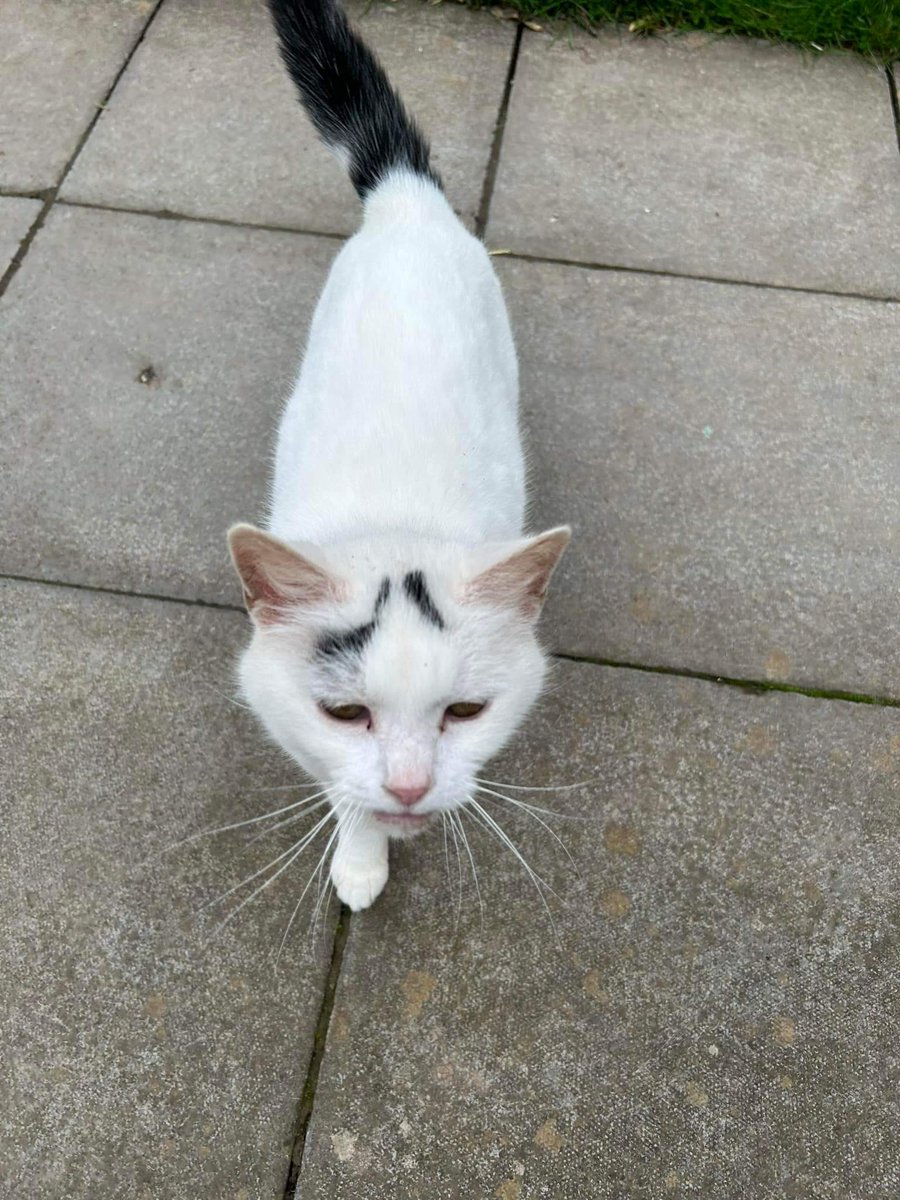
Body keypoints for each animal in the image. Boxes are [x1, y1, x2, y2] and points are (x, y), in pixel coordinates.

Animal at [230, 0, 571, 907]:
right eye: (346, 714)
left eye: (466, 712)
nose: (411, 787)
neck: (396, 514)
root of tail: (407, 198)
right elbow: (338, 785)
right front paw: (360, 854)